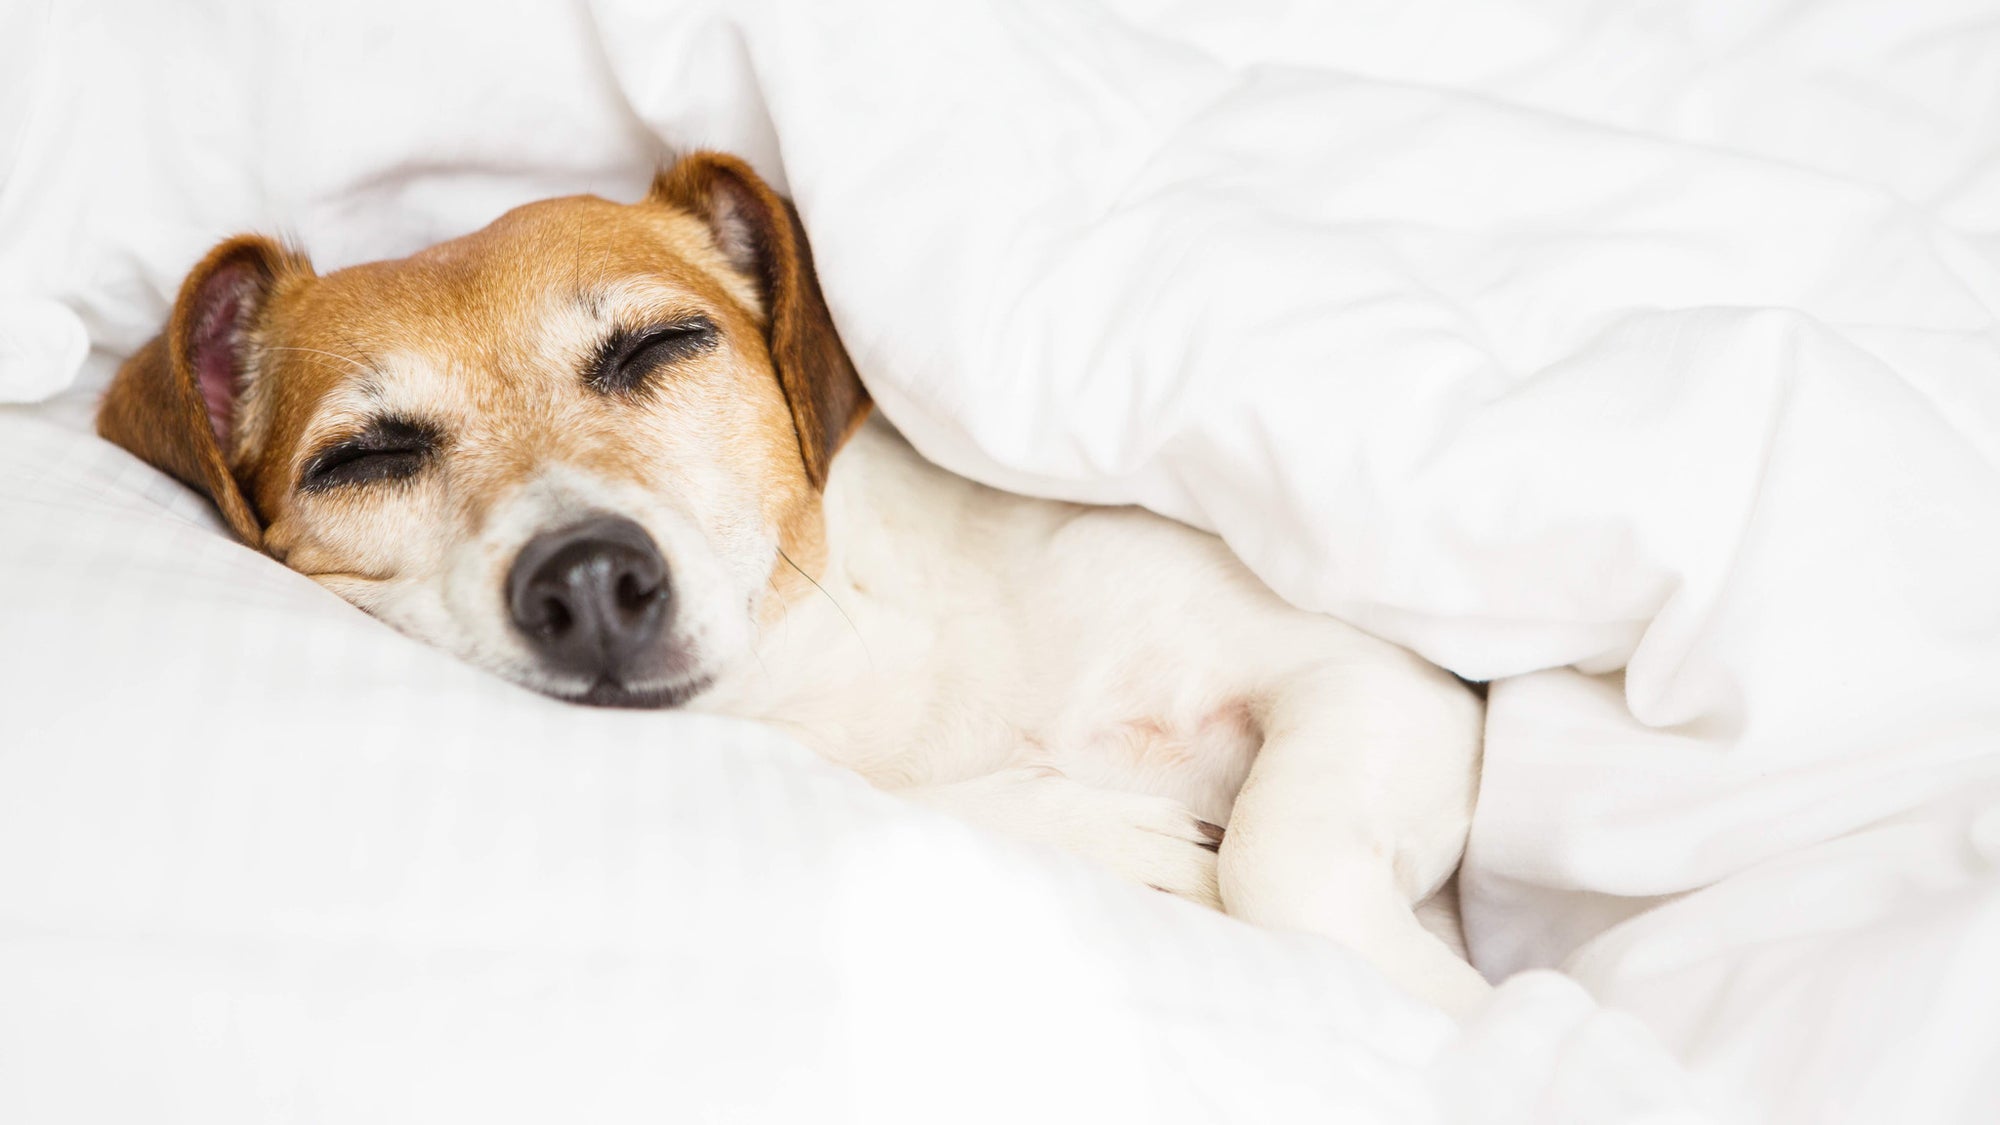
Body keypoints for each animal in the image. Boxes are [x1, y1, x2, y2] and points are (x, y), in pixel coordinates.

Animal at [101, 151, 1496, 1016]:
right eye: (363, 458)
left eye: (660, 345)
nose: (587, 581)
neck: (853, 672)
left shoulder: (1382, 678)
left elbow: (1276, 855)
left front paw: (1482, 1020)